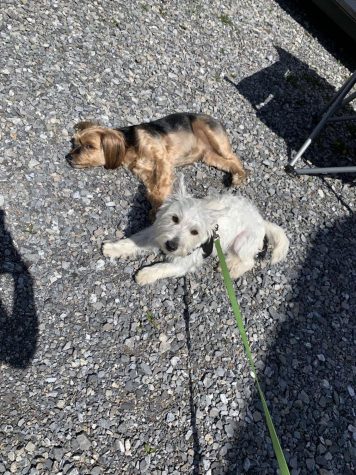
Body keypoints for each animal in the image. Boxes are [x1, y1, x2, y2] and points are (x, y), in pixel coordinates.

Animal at [68, 113, 246, 212]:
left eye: (89, 146)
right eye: (75, 143)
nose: (68, 157)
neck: (129, 144)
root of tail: (217, 120)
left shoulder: (162, 159)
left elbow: (162, 185)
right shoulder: (145, 173)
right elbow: (153, 192)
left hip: (210, 132)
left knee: (235, 158)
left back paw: (240, 176)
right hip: (209, 156)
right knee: (226, 161)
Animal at [101, 176, 290, 284]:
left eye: (195, 232)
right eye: (174, 218)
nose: (171, 246)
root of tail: (261, 221)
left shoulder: (184, 264)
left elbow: (163, 267)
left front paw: (145, 275)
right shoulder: (156, 232)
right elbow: (134, 240)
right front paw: (113, 248)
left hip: (242, 242)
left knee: (248, 261)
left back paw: (232, 269)